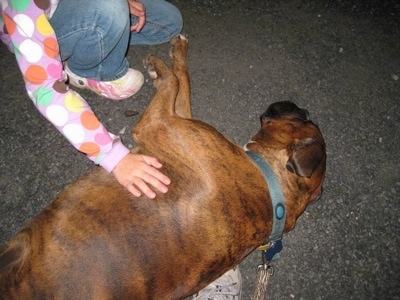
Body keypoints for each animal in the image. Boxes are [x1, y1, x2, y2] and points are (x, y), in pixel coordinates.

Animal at [0, 35, 324, 300]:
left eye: (305, 118)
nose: (299, 104)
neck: (271, 185)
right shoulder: (178, 117)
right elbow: (183, 80)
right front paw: (178, 51)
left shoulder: (158, 125)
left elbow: (173, 81)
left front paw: (157, 66)